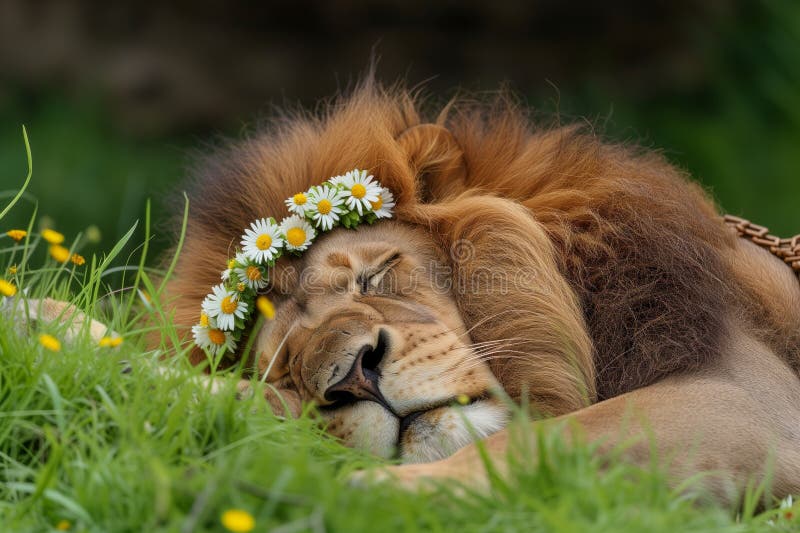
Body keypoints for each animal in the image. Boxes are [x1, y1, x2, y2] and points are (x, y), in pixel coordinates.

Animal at [160, 81, 800, 504]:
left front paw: (364, 489)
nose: (352, 377)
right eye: (284, 369)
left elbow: (543, 439)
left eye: (374, 275)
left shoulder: (747, 400)